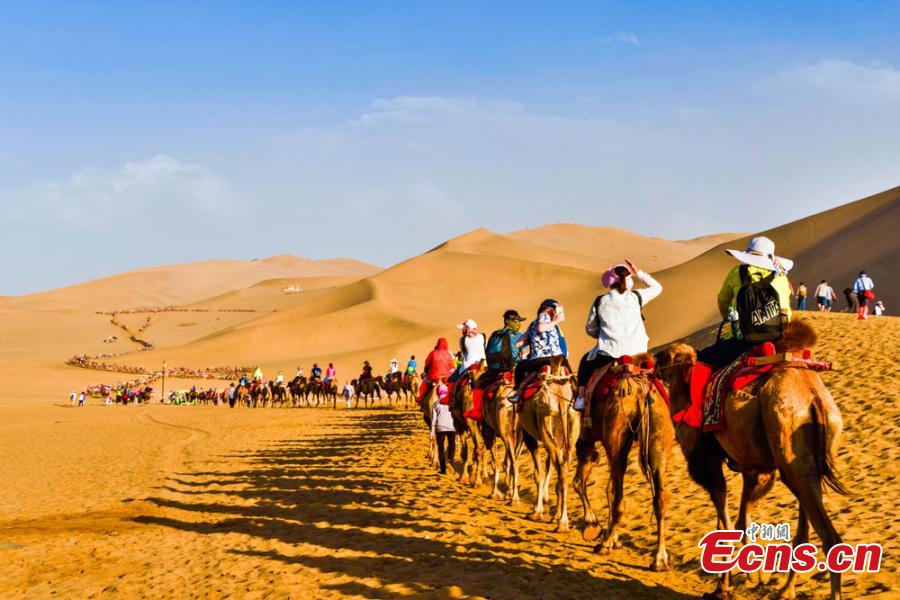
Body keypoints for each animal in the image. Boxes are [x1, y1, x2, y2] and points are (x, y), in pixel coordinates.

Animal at [516, 354, 580, 532]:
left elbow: (539, 473)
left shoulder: (530, 436)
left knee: (558, 470)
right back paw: (561, 520)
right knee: (563, 471)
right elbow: (550, 467)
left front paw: (537, 511)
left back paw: (561, 522)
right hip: (570, 431)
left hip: (545, 425)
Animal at [572, 356, 672, 572]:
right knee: (659, 499)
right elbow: (608, 488)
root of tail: (641, 389)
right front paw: (613, 537)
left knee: (619, 500)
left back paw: (604, 544)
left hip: (617, 436)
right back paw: (660, 559)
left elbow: (579, 481)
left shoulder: (587, 438)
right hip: (657, 438)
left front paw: (592, 525)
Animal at [652, 324, 852, 600]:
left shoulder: (707, 462)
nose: (650, 362)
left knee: (829, 537)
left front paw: (723, 587)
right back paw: (785, 590)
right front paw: (752, 576)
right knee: (805, 526)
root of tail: (814, 400)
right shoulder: (756, 469)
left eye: (663, 357)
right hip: (810, 458)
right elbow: (742, 517)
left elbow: (725, 522)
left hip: (787, 443)